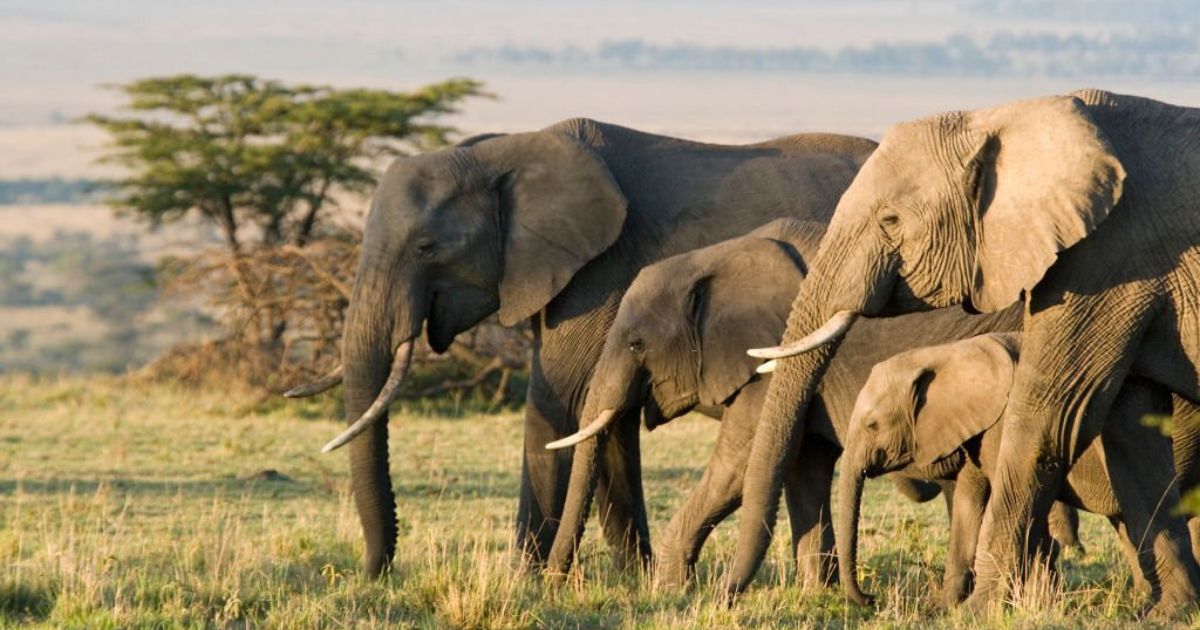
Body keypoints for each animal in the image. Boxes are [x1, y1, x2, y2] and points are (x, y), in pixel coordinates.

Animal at [285, 118, 879, 575]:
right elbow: (605, 419)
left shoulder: (598, 273)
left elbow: (562, 402)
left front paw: (524, 581)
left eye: (426, 248)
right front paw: (631, 579)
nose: (373, 573)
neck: (503, 151)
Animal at [540, 218, 1082, 587]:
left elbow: (739, 467)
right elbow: (805, 469)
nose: (555, 580)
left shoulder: (770, 363)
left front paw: (670, 590)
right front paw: (816, 593)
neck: (716, 258)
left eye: (636, 345)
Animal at [836, 333, 1200, 614]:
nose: (870, 599)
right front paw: (942, 609)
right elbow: (969, 505)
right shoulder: (977, 429)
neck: (946, 352)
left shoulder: (1004, 424)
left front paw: (1035, 606)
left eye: (872, 426)